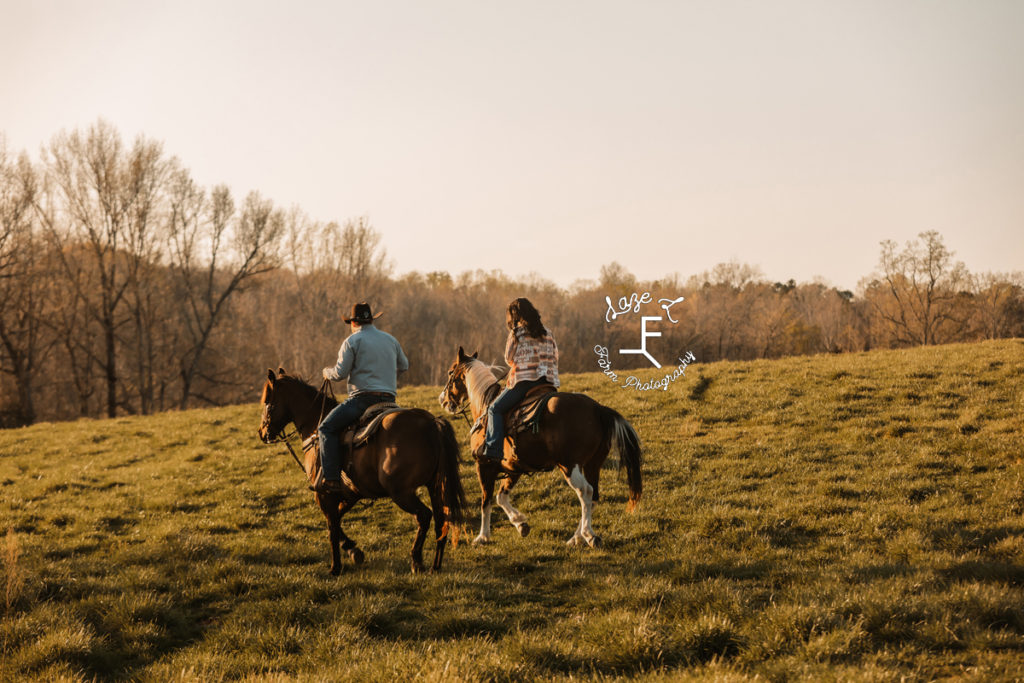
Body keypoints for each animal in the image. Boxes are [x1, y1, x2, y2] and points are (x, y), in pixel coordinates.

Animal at [258, 366, 466, 573]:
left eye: (268, 402)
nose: (262, 432)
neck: (315, 428)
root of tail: (432, 424)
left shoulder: (324, 494)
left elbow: (332, 527)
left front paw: (336, 567)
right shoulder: (351, 493)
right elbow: (337, 520)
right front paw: (353, 550)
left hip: (401, 492)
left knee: (424, 516)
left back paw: (416, 560)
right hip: (435, 486)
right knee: (442, 521)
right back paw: (435, 566)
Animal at [438, 350, 638, 548]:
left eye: (450, 372)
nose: (443, 400)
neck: (485, 408)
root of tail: (598, 409)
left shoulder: (484, 465)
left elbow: (485, 502)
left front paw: (482, 536)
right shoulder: (513, 468)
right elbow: (501, 497)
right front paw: (521, 524)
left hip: (569, 465)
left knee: (585, 491)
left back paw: (588, 535)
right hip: (592, 464)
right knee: (593, 495)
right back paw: (575, 538)